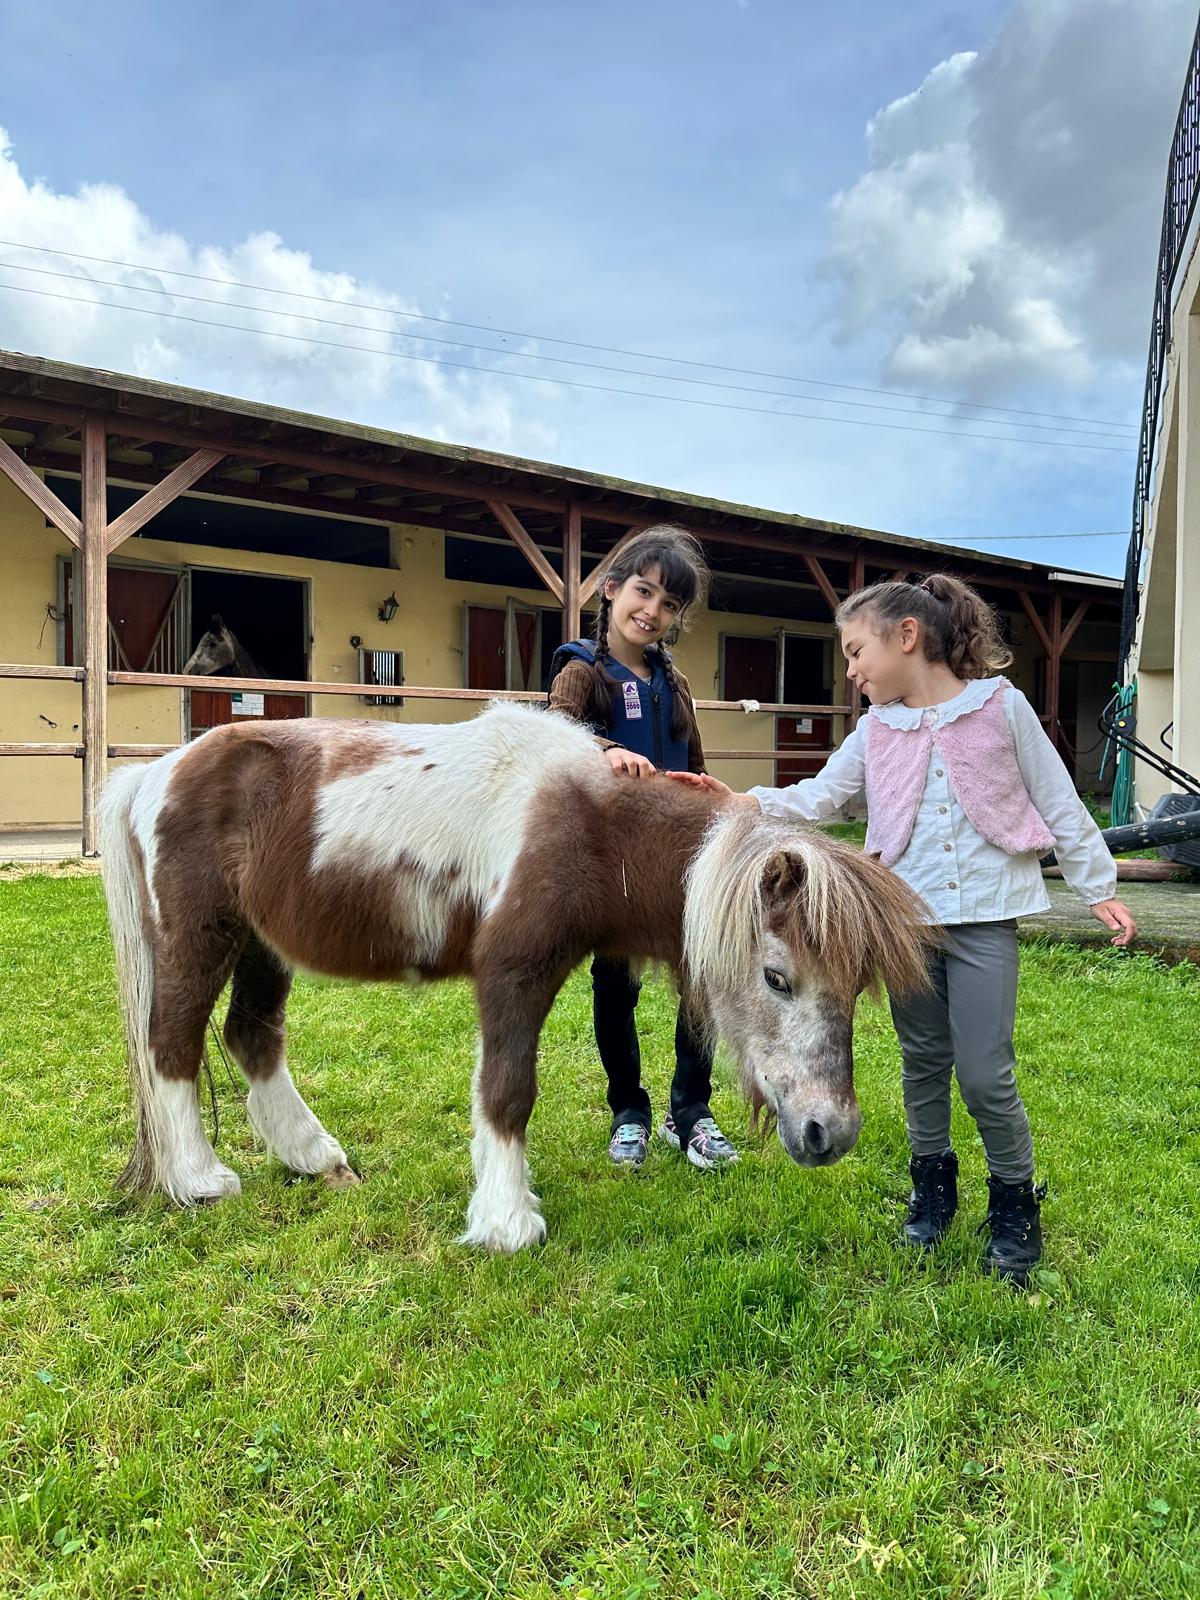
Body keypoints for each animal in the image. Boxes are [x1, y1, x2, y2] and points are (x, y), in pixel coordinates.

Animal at [98, 704, 934, 1248]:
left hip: (263, 944)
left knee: (252, 1037)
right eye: (777, 978)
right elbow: (506, 1092)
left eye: (856, 987)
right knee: (171, 1045)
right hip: (202, 936)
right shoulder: (513, 972)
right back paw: (201, 1181)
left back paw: (316, 1159)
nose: (831, 1133)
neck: (587, 825)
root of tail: (157, 773)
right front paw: (507, 1221)